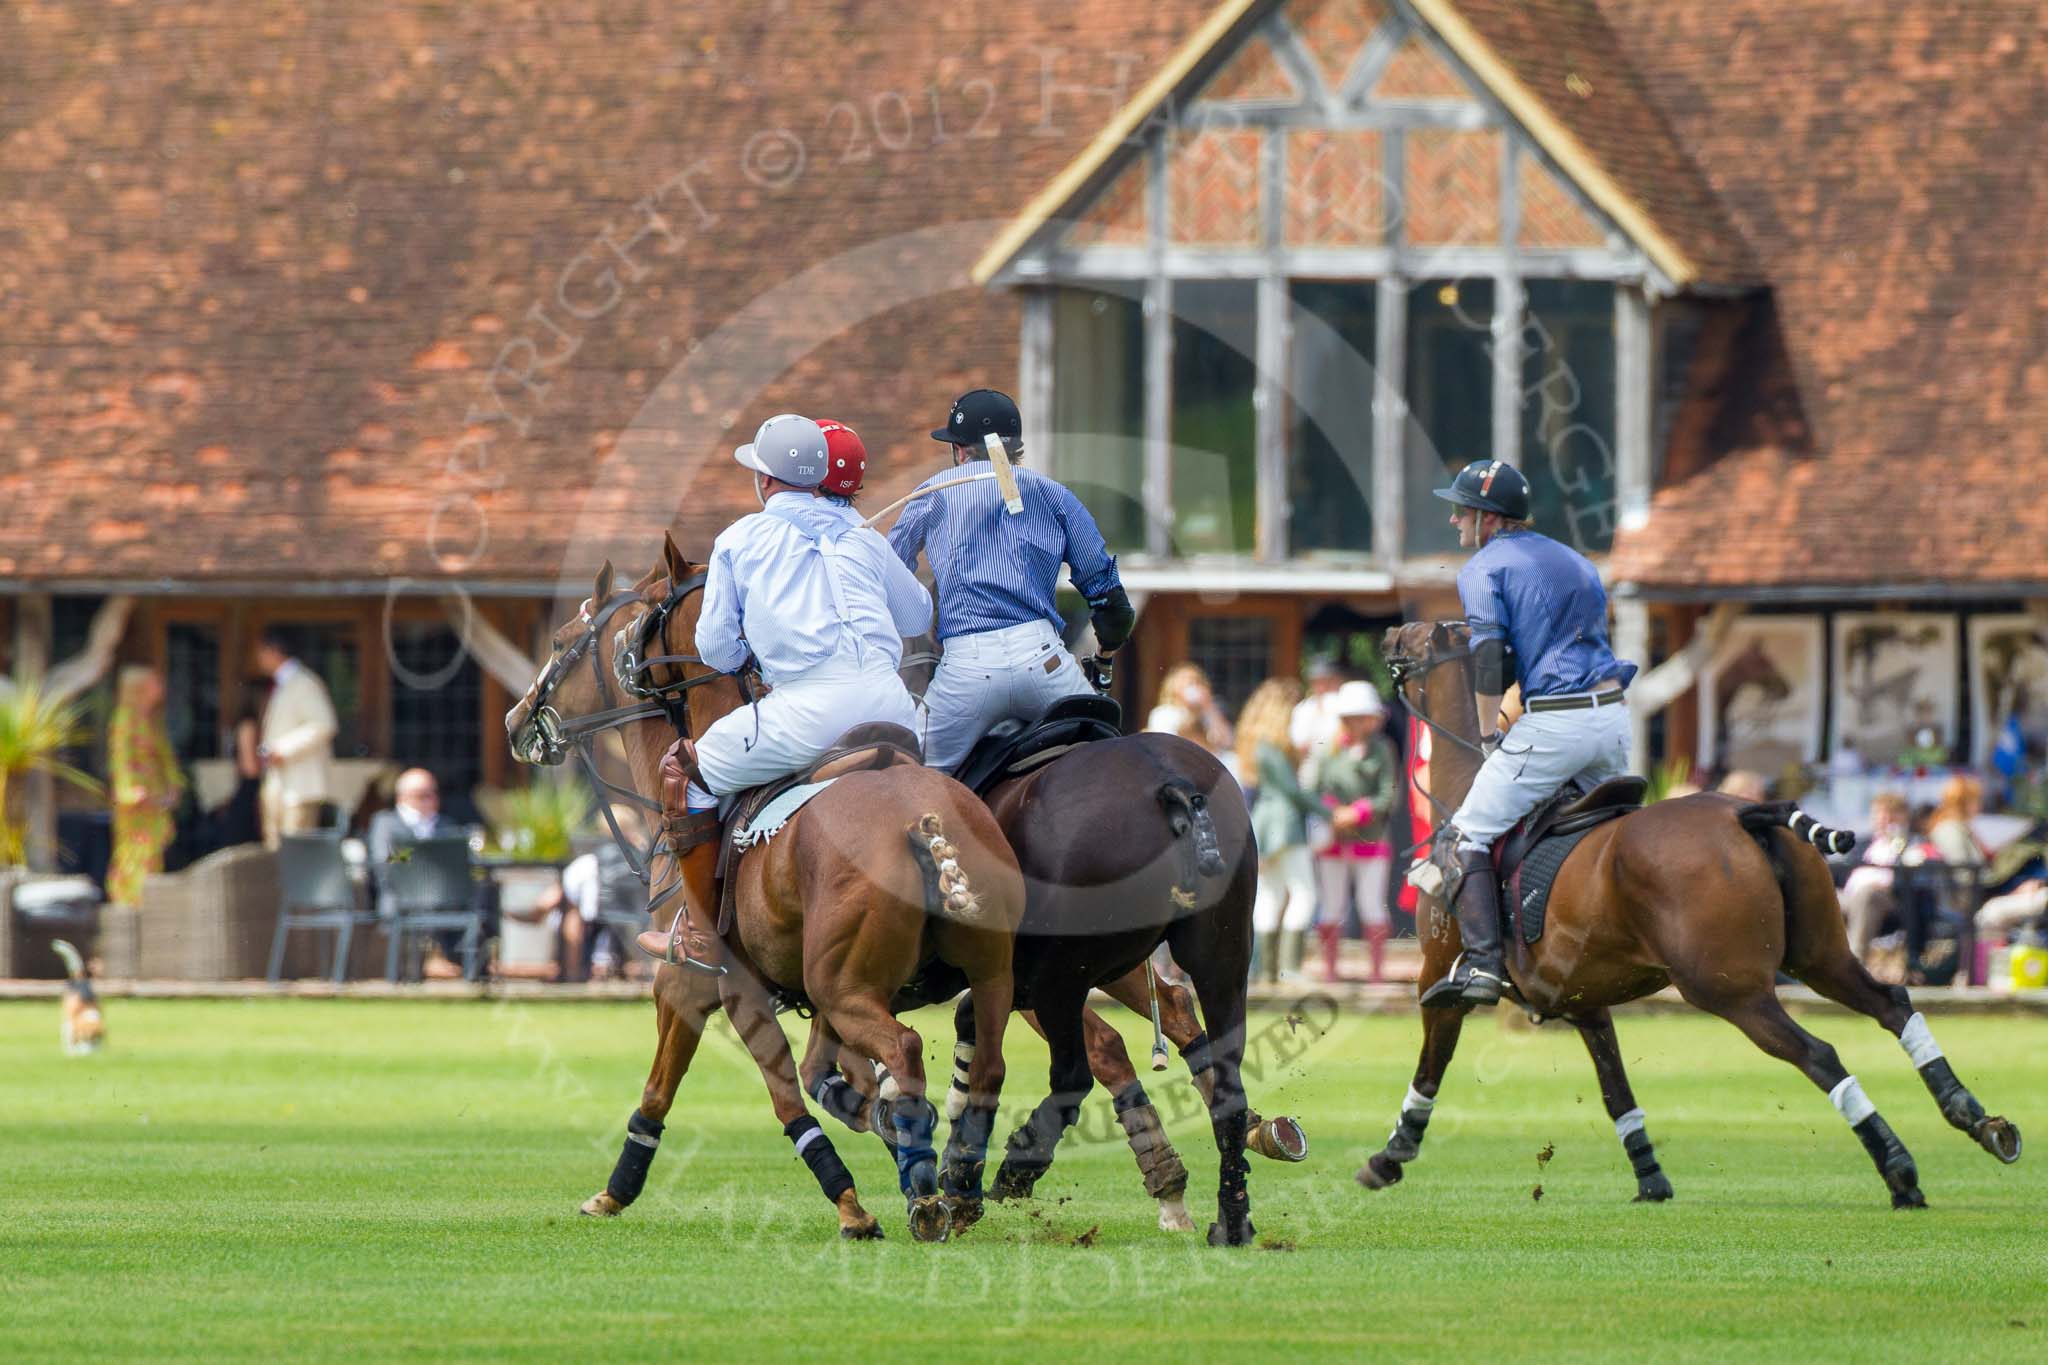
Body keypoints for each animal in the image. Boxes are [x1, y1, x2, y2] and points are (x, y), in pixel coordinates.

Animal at [507, 540, 1019, 1236]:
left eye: (563, 642)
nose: (516, 722)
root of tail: (922, 818)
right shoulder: (807, 1002)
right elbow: (827, 1079)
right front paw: (883, 1130)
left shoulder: (706, 984)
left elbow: (733, 1094)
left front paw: (852, 1206)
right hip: (985, 975)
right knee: (986, 1062)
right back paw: (958, 1182)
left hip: (845, 986)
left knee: (907, 1047)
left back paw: (928, 1192)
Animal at [1359, 618, 2015, 1203]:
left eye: (1413, 636)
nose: (1383, 634)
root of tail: (1747, 812)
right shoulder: (1585, 999)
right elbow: (1616, 1089)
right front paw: (1650, 1178)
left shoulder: (1437, 976)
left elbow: (1430, 1068)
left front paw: (1390, 1155)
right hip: (1820, 955)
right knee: (1892, 1003)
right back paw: (1976, 1118)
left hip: (1727, 987)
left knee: (1819, 1053)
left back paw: (1900, 1171)